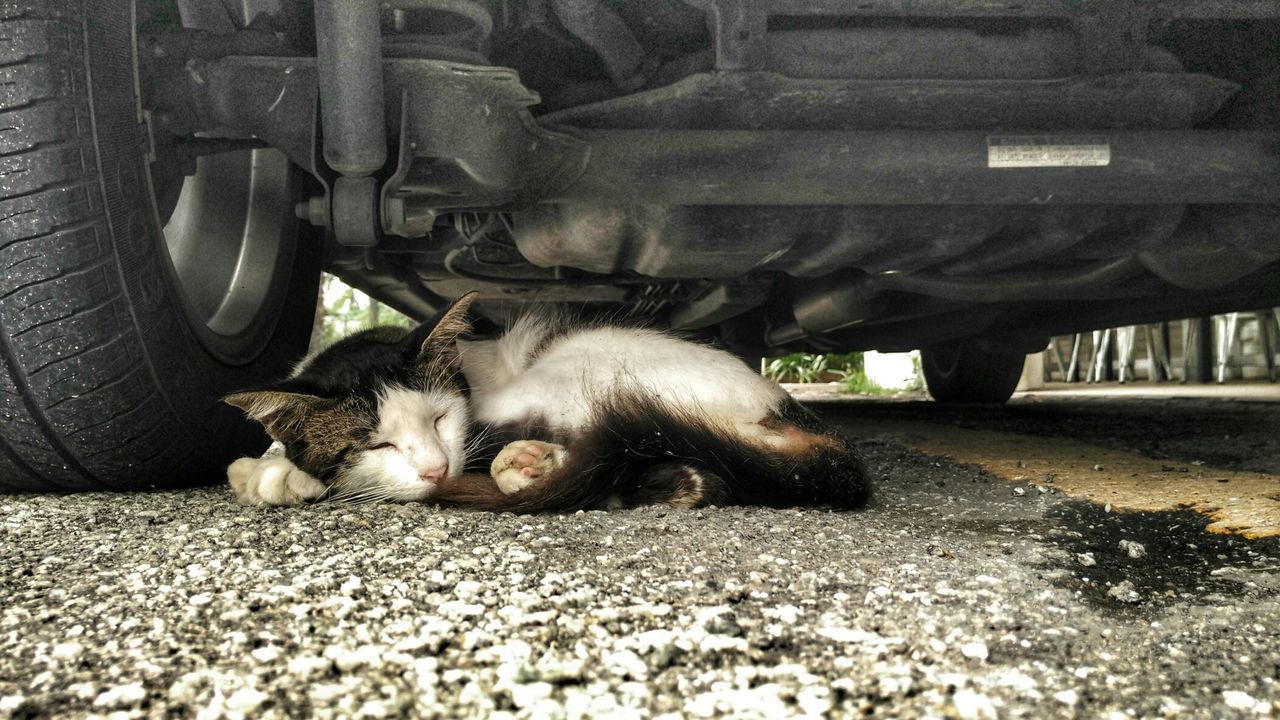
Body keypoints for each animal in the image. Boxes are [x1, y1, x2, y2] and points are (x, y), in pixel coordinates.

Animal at [227, 292, 870, 509]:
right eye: (378, 442)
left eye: (440, 417)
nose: (435, 469)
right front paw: (270, 464)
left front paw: (280, 471)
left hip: (580, 370)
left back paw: (531, 464)